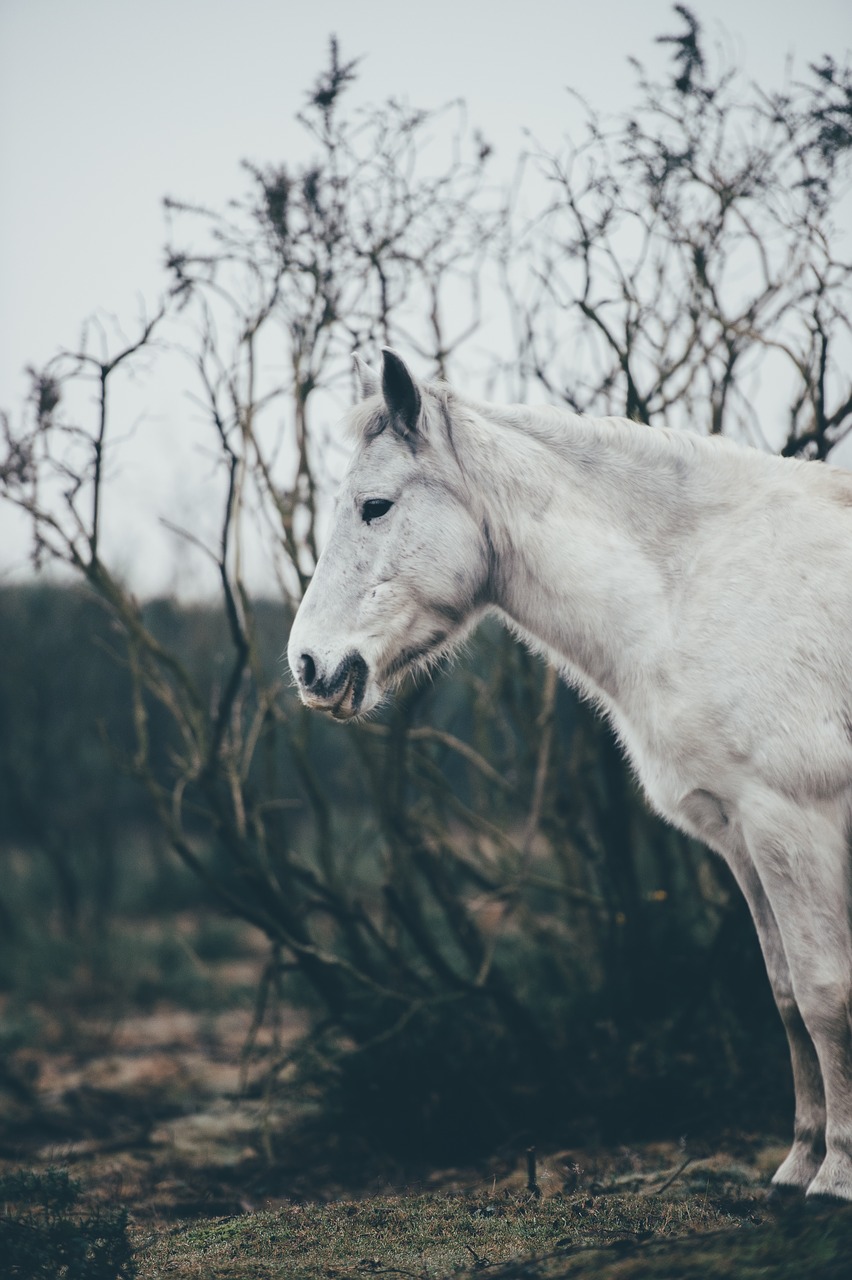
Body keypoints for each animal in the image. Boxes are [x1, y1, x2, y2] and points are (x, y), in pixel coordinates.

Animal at [286, 348, 849, 1198]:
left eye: (375, 507)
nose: (309, 666)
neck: (699, 586)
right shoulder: (744, 836)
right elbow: (786, 997)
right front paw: (797, 1167)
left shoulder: (797, 823)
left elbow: (825, 994)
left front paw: (837, 1174)